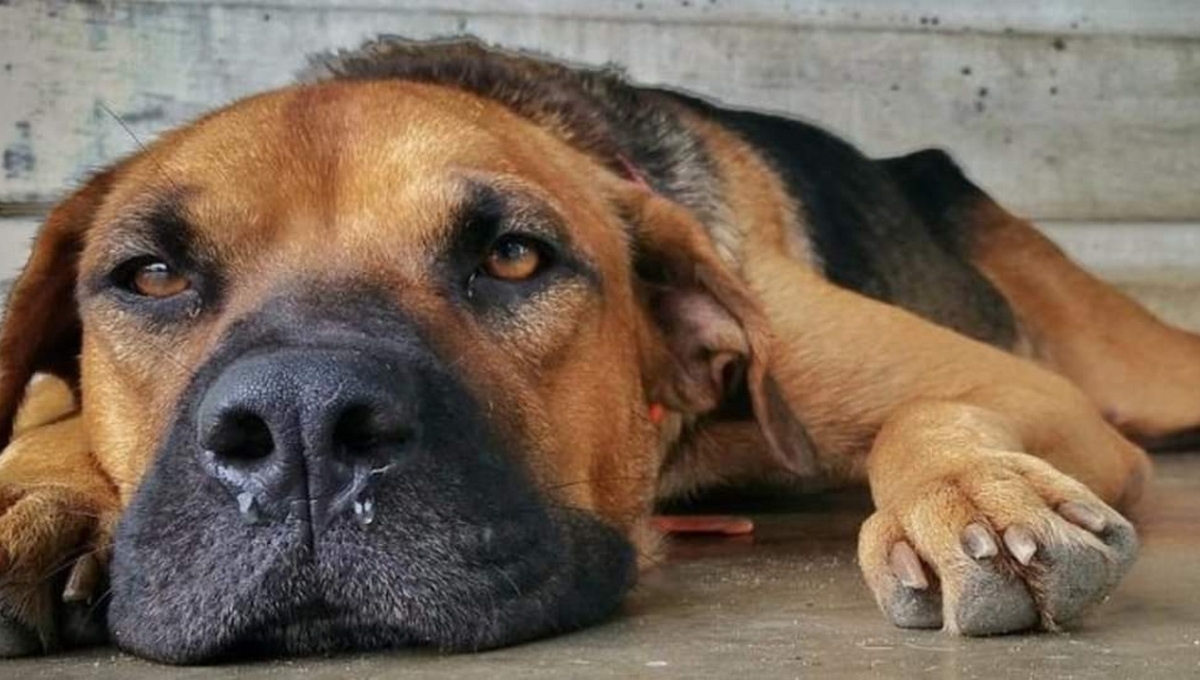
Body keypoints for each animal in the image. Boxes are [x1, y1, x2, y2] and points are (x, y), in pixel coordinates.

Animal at [2, 37, 1200, 666]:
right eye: (152, 275)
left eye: (514, 256)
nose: (303, 428)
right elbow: (52, 417)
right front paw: (39, 490)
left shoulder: (1031, 389)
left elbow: (932, 410)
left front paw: (975, 490)